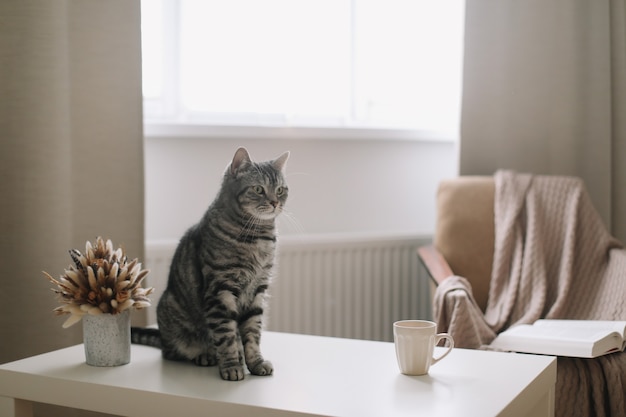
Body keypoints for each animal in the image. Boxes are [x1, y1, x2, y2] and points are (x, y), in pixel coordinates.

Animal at [133, 146, 288, 380]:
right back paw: (206, 355)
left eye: (280, 190)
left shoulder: (258, 290)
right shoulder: (220, 290)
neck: (258, 237)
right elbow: (226, 336)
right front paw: (232, 366)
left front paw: (255, 362)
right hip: (171, 310)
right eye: (259, 189)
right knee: (172, 352)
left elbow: (253, 333)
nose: (274, 202)